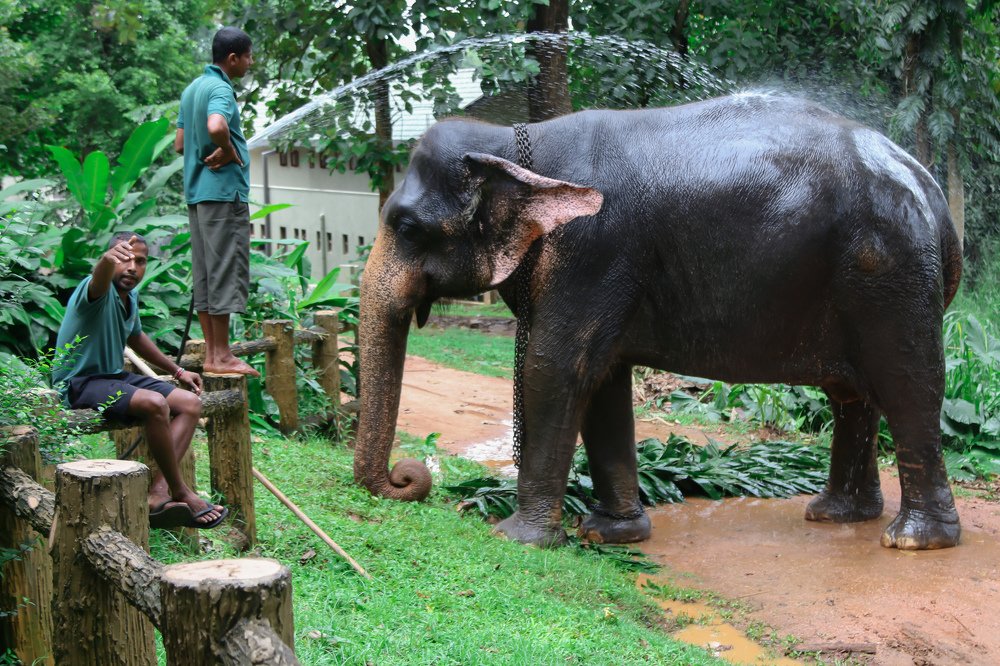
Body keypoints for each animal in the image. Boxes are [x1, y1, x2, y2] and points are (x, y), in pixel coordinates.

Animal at [353, 92, 963, 552]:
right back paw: (837, 514)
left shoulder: (591, 250)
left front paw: (516, 538)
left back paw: (913, 539)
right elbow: (602, 379)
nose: (407, 478)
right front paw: (610, 534)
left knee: (907, 386)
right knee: (851, 393)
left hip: (890, 271)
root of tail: (932, 189)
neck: (514, 143)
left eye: (406, 227)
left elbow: (555, 367)